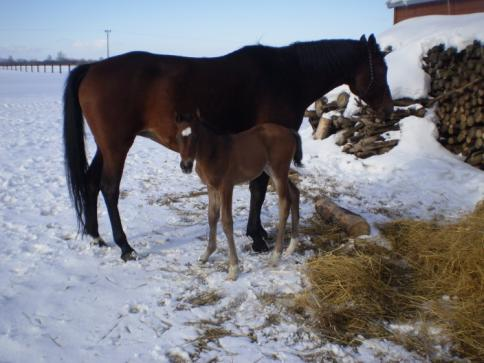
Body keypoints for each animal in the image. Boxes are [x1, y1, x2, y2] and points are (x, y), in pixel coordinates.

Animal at [63, 33, 394, 262]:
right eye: (380, 68)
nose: (389, 109)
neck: (288, 76)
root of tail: (92, 68)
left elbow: (259, 189)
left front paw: (259, 232)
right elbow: (259, 189)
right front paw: (257, 238)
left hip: (106, 146)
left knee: (90, 183)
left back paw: (95, 237)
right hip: (117, 145)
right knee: (109, 189)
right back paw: (125, 246)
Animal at [175, 111, 302, 282]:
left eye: (195, 137)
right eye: (178, 136)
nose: (186, 166)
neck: (214, 152)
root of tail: (289, 131)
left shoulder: (226, 187)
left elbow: (227, 222)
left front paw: (233, 269)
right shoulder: (211, 187)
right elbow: (211, 216)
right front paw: (206, 254)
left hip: (278, 171)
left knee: (285, 203)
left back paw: (276, 256)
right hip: (272, 171)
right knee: (295, 193)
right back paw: (291, 247)